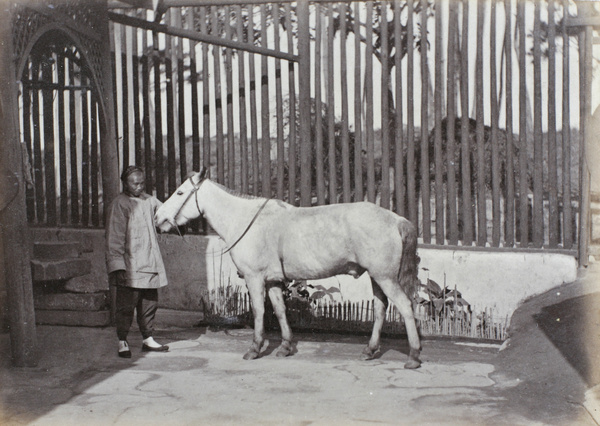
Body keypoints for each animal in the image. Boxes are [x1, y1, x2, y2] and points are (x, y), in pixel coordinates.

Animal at [157, 168, 424, 368]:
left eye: (180, 192)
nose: (158, 216)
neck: (246, 220)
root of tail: (396, 219)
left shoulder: (254, 278)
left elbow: (259, 312)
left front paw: (254, 349)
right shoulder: (273, 281)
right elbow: (280, 310)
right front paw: (285, 347)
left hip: (385, 277)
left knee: (405, 306)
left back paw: (413, 356)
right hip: (377, 277)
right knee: (381, 308)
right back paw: (370, 350)